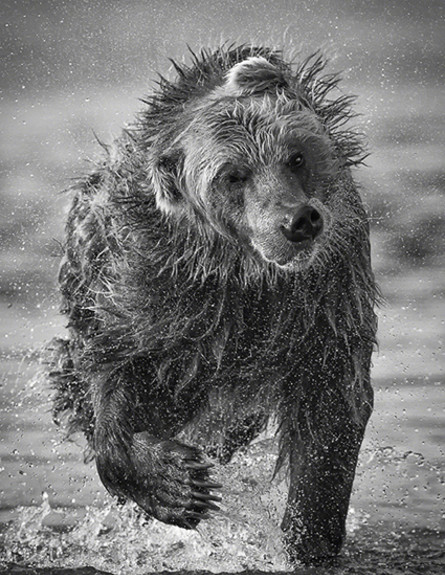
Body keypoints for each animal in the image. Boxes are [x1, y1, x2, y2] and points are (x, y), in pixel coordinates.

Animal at [48, 44, 376, 564]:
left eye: (296, 156)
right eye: (233, 175)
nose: (298, 221)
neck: (243, 275)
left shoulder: (327, 297)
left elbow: (330, 412)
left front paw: (307, 539)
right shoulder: (154, 293)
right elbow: (117, 377)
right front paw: (176, 486)